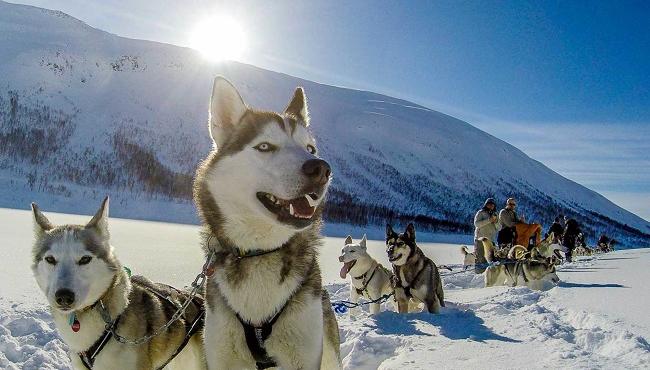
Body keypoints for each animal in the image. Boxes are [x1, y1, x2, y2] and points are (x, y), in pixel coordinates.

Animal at [192, 76, 342, 368]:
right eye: (264, 146)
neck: (259, 252)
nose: (321, 168)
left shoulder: (305, 357)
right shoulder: (221, 356)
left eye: (310, 148)